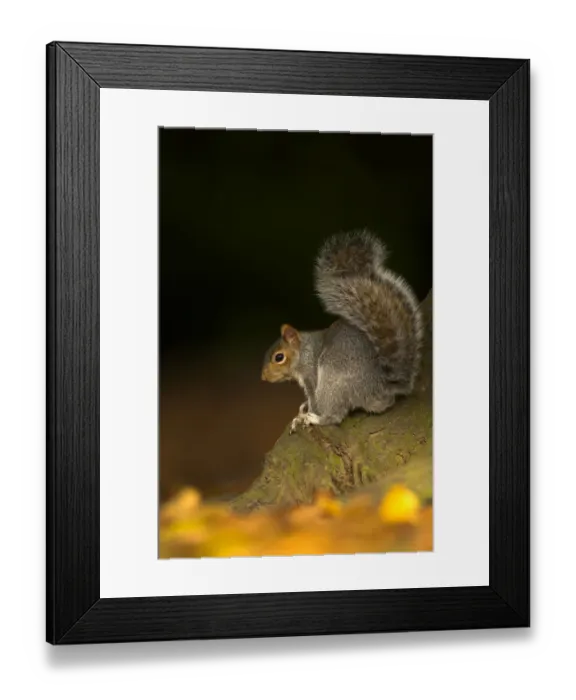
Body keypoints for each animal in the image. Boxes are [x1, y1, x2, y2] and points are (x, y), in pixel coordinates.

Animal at [261, 229, 425, 434]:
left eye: (279, 357)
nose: (263, 377)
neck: (303, 349)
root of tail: (380, 389)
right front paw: (302, 410)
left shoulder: (310, 375)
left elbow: (314, 400)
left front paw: (303, 415)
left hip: (333, 382)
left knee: (335, 415)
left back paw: (317, 419)